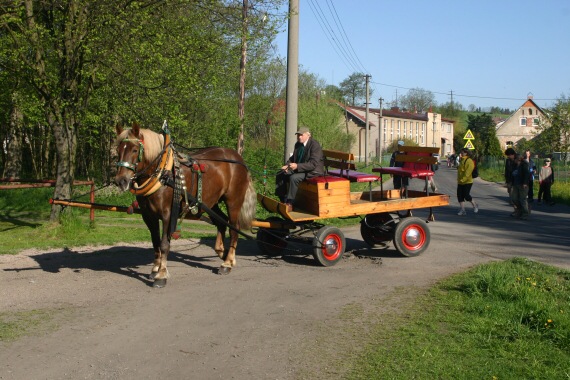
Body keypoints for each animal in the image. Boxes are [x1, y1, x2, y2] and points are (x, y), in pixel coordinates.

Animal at [114, 124, 256, 288]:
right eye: (118, 150)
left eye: (135, 150)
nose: (120, 181)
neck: (163, 174)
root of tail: (239, 159)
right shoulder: (148, 216)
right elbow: (155, 243)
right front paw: (155, 269)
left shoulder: (168, 215)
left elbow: (164, 244)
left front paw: (161, 275)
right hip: (210, 202)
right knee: (221, 222)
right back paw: (222, 252)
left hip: (233, 201)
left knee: (234, 228)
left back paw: (227, 262)